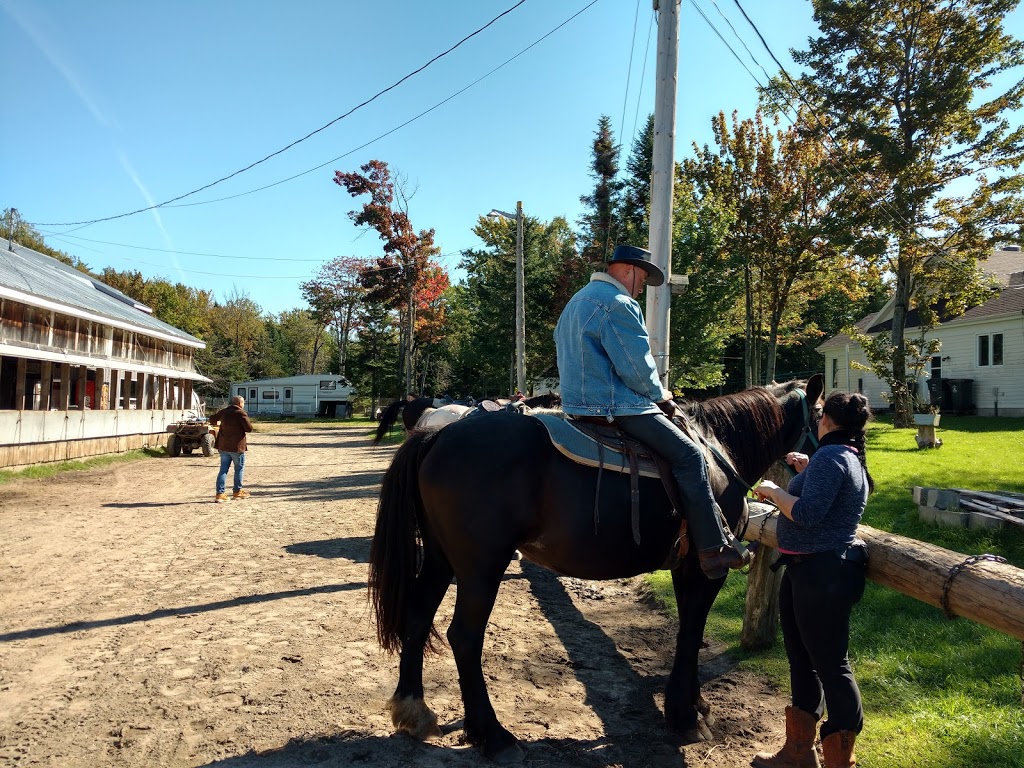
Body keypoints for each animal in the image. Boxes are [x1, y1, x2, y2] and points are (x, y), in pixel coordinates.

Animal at [368, 374, 823, 765]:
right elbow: (692, 632)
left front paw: (694, 706)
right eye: (821, 413)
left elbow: (688, 632)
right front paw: (685, 716)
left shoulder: (684, 567)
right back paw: (494, 736)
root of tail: (438, 434)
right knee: (464, 637)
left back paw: (414, 710)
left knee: (417, 617)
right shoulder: (704, 567)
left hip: (441, 558)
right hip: (481, 567)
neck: (717, 450)